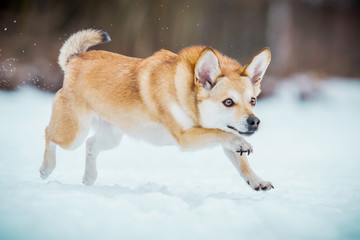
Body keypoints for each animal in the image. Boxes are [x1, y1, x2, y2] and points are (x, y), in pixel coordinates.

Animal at [40, 29, 272, 191]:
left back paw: (89, 177)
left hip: (111, 137)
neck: (190, 99)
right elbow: (220, 134)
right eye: (228, 102)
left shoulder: (222, 132)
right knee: (49, 133)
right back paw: (46, 168)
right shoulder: (185, 137)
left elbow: (239, 158)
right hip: (73, 134)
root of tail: (74, 59)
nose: (254, 122)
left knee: (90, 145)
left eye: (253, 100)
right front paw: (242, 143)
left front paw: (257, 180)